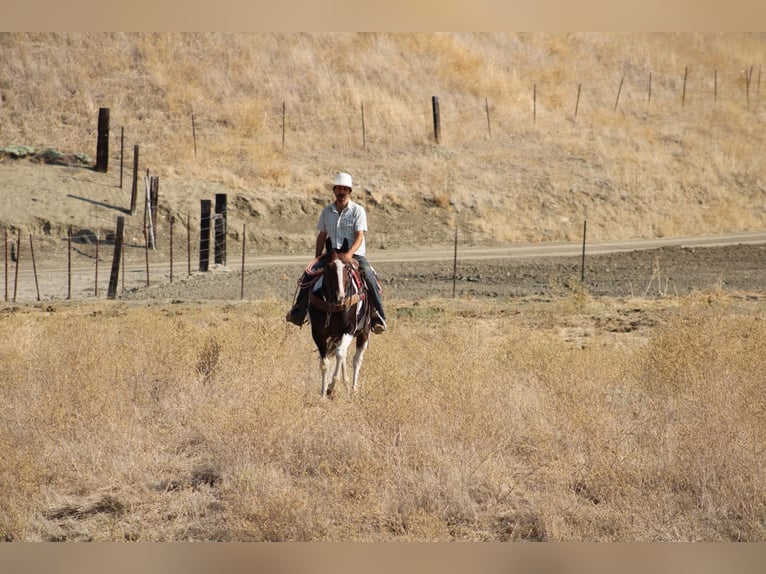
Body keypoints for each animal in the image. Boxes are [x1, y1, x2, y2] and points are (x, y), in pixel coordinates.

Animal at [308, 238, 372, 398]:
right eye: (328, 267)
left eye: (347, 268)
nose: (341, 297)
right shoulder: (318, 333)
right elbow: (325, 363)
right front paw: (324, 394)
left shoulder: (349, 329)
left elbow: (340, 354)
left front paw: (332, 387)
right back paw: (346, 384)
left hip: (364, 332)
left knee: (356, 359)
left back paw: (353, 388)